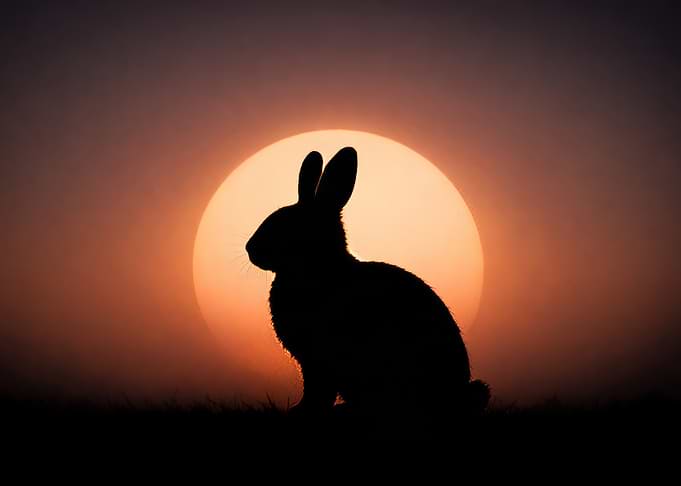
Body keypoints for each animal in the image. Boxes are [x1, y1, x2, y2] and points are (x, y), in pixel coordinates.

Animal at [246, 147, 489, 418]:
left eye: (288, 225)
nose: (250, 249)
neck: (319, 268)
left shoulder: (319, 362)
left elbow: (319, 392)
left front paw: (301, 411)